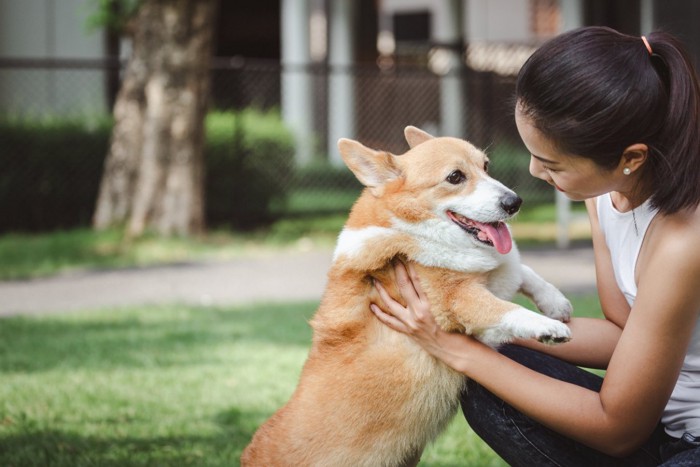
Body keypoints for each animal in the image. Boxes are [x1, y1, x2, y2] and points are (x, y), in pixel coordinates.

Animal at [243, 128, 572, 467]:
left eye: (486, 166)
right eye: (455, 177)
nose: (514, 202)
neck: (415, 228)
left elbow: (521, 270)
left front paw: (554, 302)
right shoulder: (458, 299)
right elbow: (505, 307)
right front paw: (548, 327)